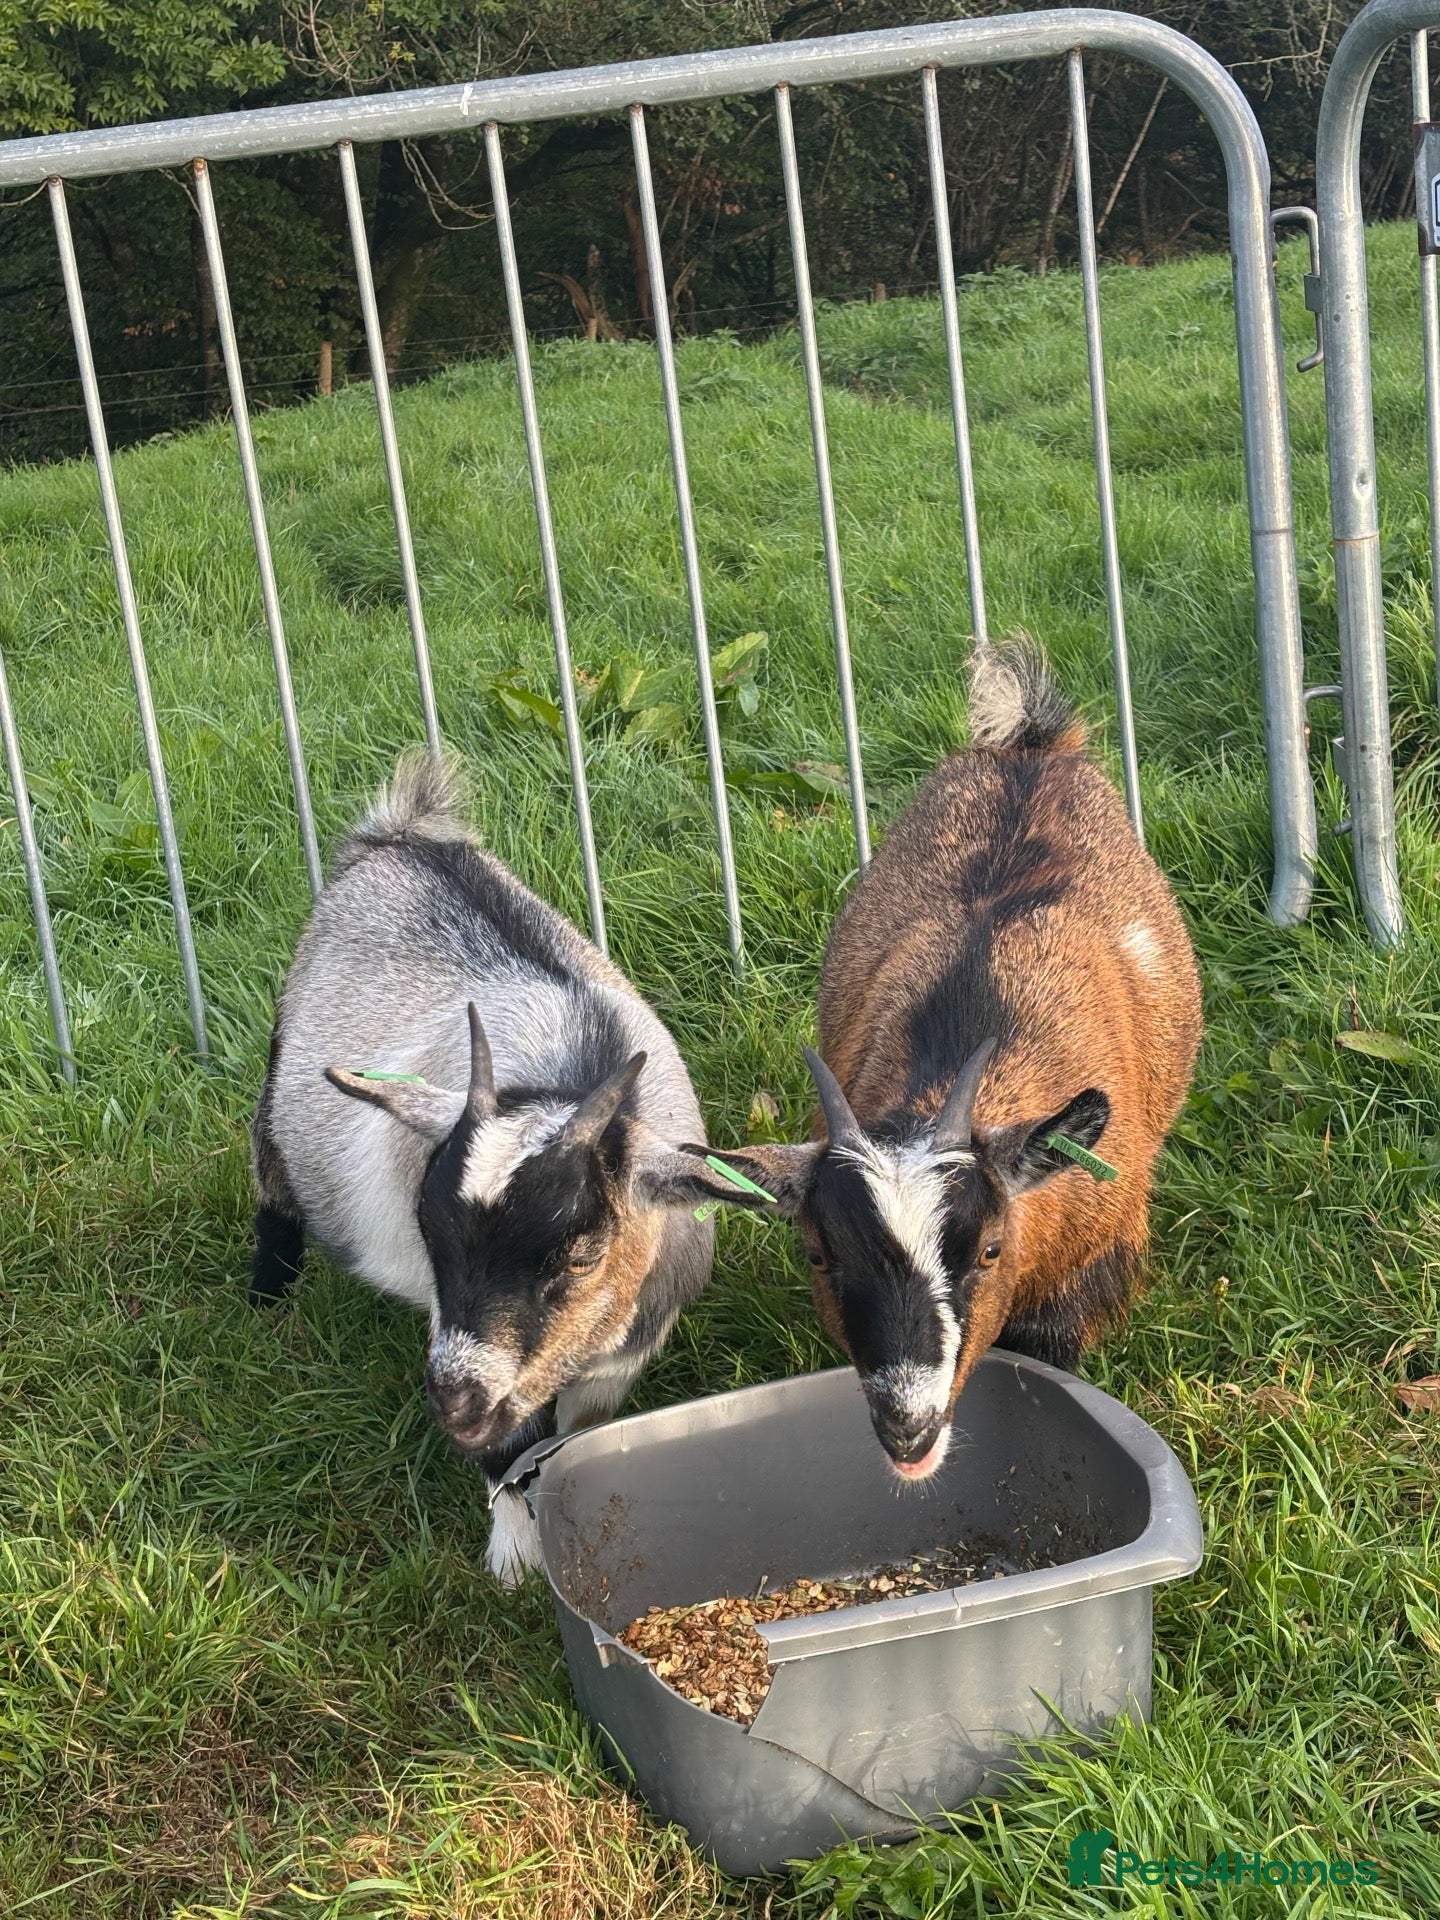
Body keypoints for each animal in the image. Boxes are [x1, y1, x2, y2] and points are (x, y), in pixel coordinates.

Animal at [250, 755, 732, 1582]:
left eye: (582, 1253)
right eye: (428, 1228)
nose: (455, 1405)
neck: (566, 1083)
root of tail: (400, 838)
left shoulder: (615, 1361)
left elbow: (565, 1435)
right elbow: (514, 1452)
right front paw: (517, 1558)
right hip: (280, 1069)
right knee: (270, 1177)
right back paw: (267, 1293)